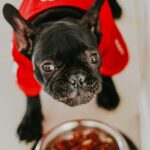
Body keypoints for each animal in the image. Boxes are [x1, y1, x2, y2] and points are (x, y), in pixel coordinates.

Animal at [2, 0, 128, 146]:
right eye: (47, 67)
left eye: (93, 58)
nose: (77, 77)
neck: (57, 18)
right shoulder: (22, 70)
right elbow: (31, 96)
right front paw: (31, 123)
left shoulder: (112, 47)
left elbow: (108, 71)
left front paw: (109, 94)